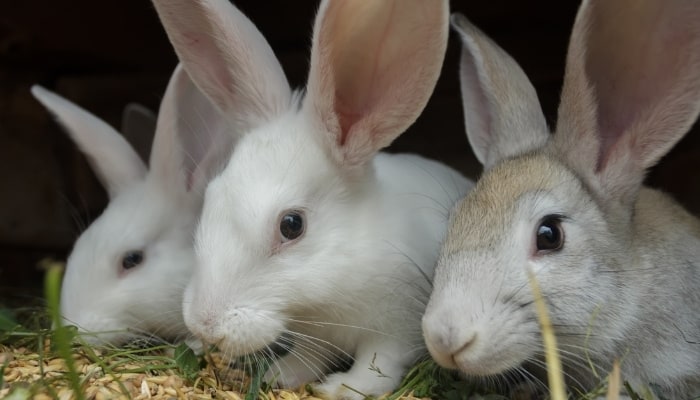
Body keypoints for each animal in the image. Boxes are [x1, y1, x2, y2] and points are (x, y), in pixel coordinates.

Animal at [150, 0, 474, 398]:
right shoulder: (312, 334)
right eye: (210, 200)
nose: (205, 323)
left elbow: (377, 365)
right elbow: (308, 356)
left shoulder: (397, 328)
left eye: (292, 225)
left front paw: (340, 388)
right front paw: (281, 375)